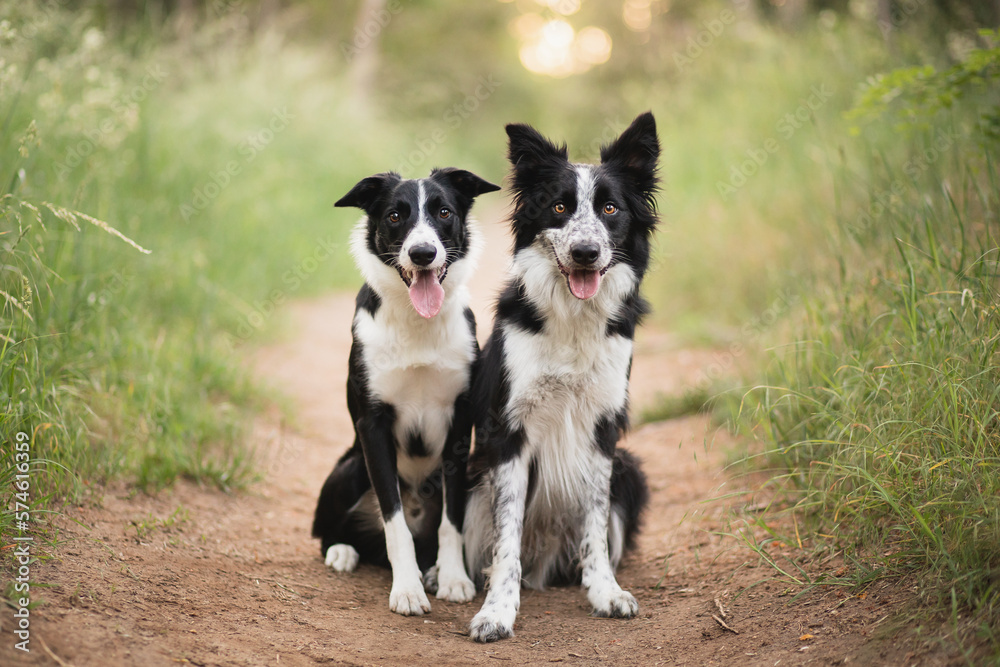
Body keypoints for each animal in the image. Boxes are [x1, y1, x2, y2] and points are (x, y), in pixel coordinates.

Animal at [312, 167, 500, 616]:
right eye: (395, 216)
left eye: (444, 212)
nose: (422, 254)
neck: (417, 323)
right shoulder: (373, 425)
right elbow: (394, 519)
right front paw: (407, 590)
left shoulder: (459, 422)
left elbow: (452, 519)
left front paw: (452, 578)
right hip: (350, 468)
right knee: (331, 533)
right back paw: (343, 551)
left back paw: (432, 569)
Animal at [466, 113, 660, 640]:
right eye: (559, 207)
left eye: (610, 208)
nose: (586, 252)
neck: (573, 318)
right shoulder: (508, 431)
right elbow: (505, 538)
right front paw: (496, 611)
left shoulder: (602, 428)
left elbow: (595, 524)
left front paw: (605, 592)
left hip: (630, 470)